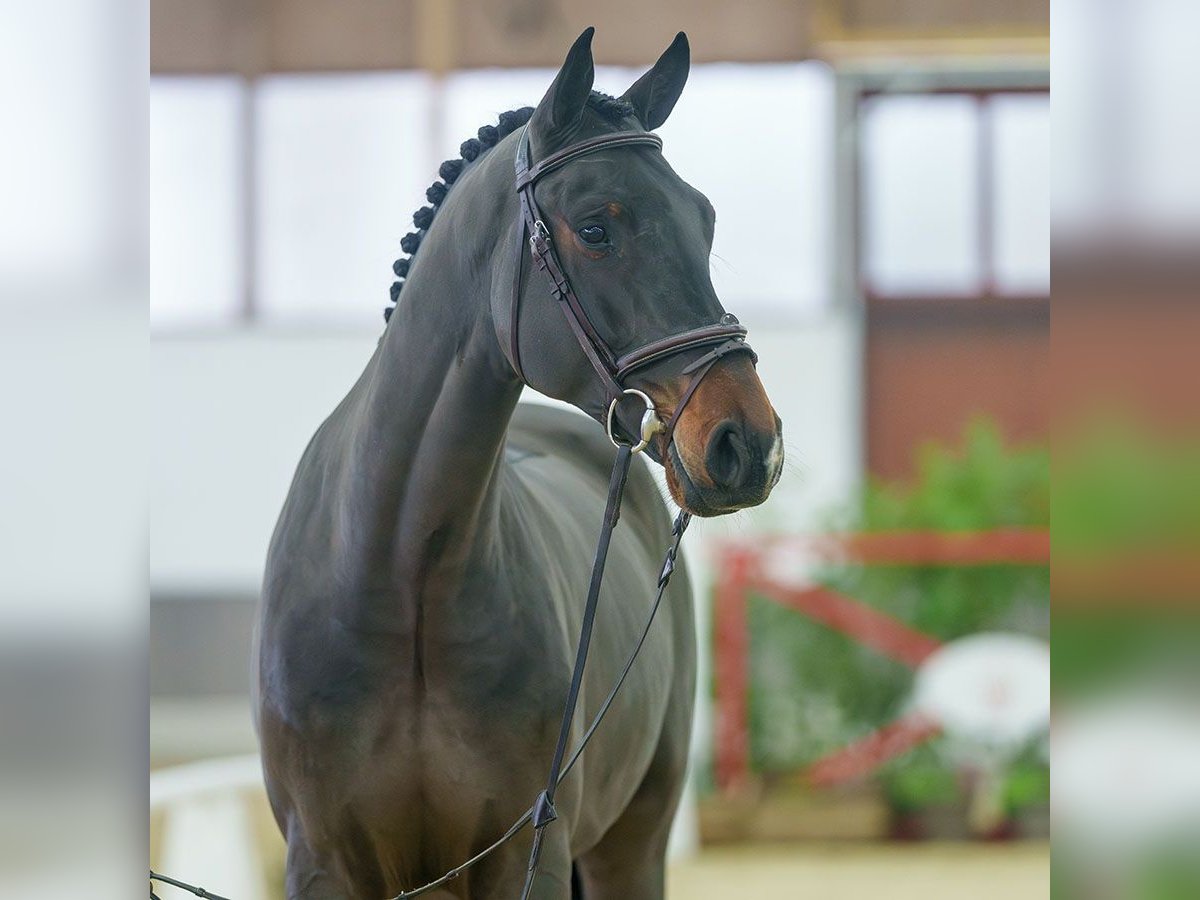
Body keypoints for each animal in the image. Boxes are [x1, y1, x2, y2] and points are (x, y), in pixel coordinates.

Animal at [253, 28, 782, 900]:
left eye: (703, 220)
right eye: (596, 229)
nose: (749, 442)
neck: (400, 578)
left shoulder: (525, 853)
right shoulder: (323, 859)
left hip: (634, 842)